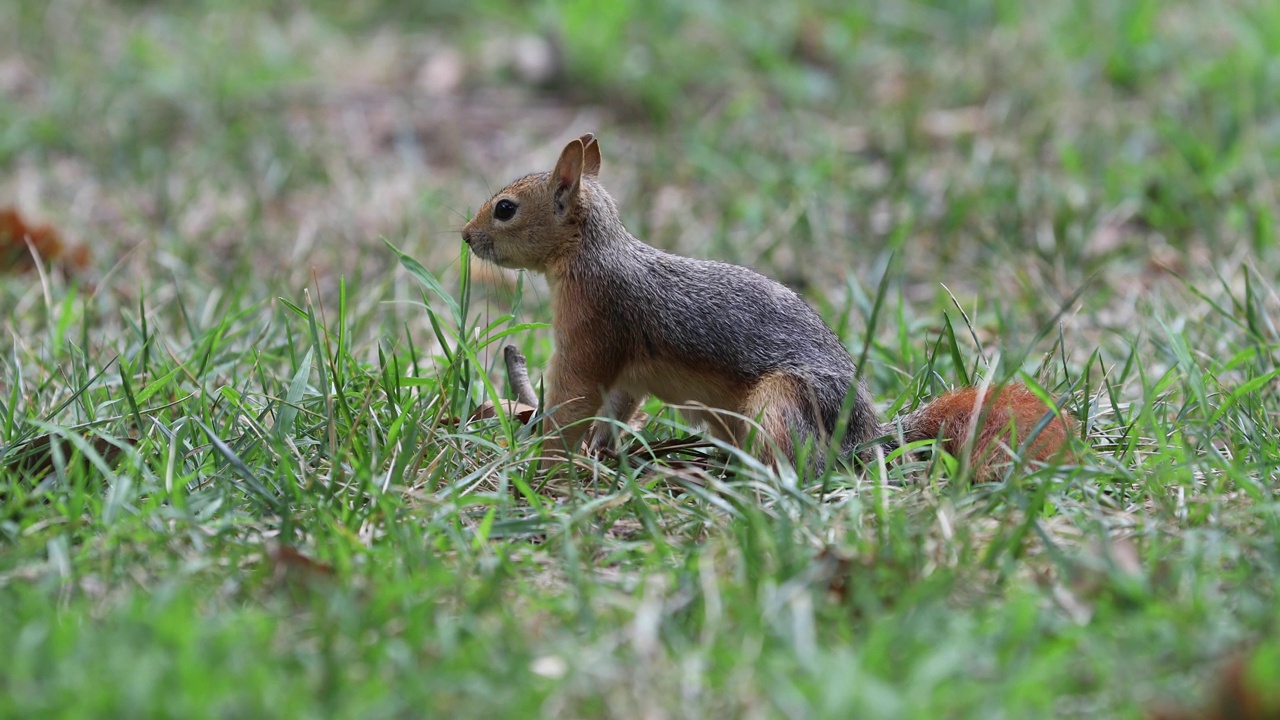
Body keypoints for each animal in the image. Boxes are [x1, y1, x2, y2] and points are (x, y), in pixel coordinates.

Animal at [460, 133, 1070, 476]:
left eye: (506, 208)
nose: (466, 237)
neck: (594, 254)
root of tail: (865, 439)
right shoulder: (627, 369)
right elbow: (615, 407)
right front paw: (602, 452)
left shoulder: (595, 329)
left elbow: (575, 399)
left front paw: (544, 460)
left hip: (780, 403)